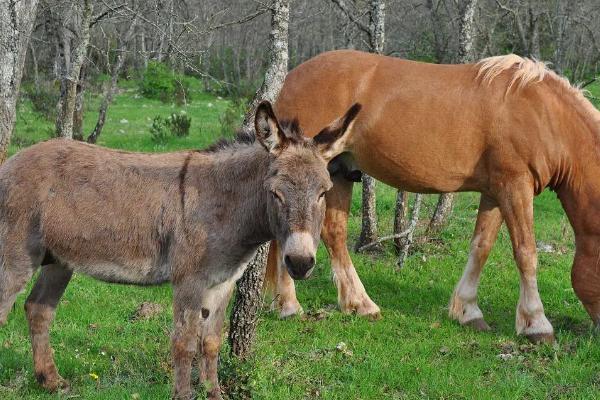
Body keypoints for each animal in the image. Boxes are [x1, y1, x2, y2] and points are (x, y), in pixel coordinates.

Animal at [0, 101, 358, 398]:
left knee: (38, 309)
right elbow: (184, 344)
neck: (224, 203)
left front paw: (215, 395)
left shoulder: (223, 281)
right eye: (275, 193)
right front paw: (184, 395)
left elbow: (211, 342)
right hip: (17, 258)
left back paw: (50, 381)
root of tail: (11, 162)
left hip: (59, 260)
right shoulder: (189, 280)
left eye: (323, 193)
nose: (300, 263)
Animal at [264, 49, 600, 344]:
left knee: (333, 234)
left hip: (338, 173)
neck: (542, 113)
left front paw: (468, 311)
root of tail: (292, 79)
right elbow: (526, 252)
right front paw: (536, 325)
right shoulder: (514, 187)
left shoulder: (495, 192)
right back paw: (289, 305)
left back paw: (357, 304)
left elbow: (481, 247)